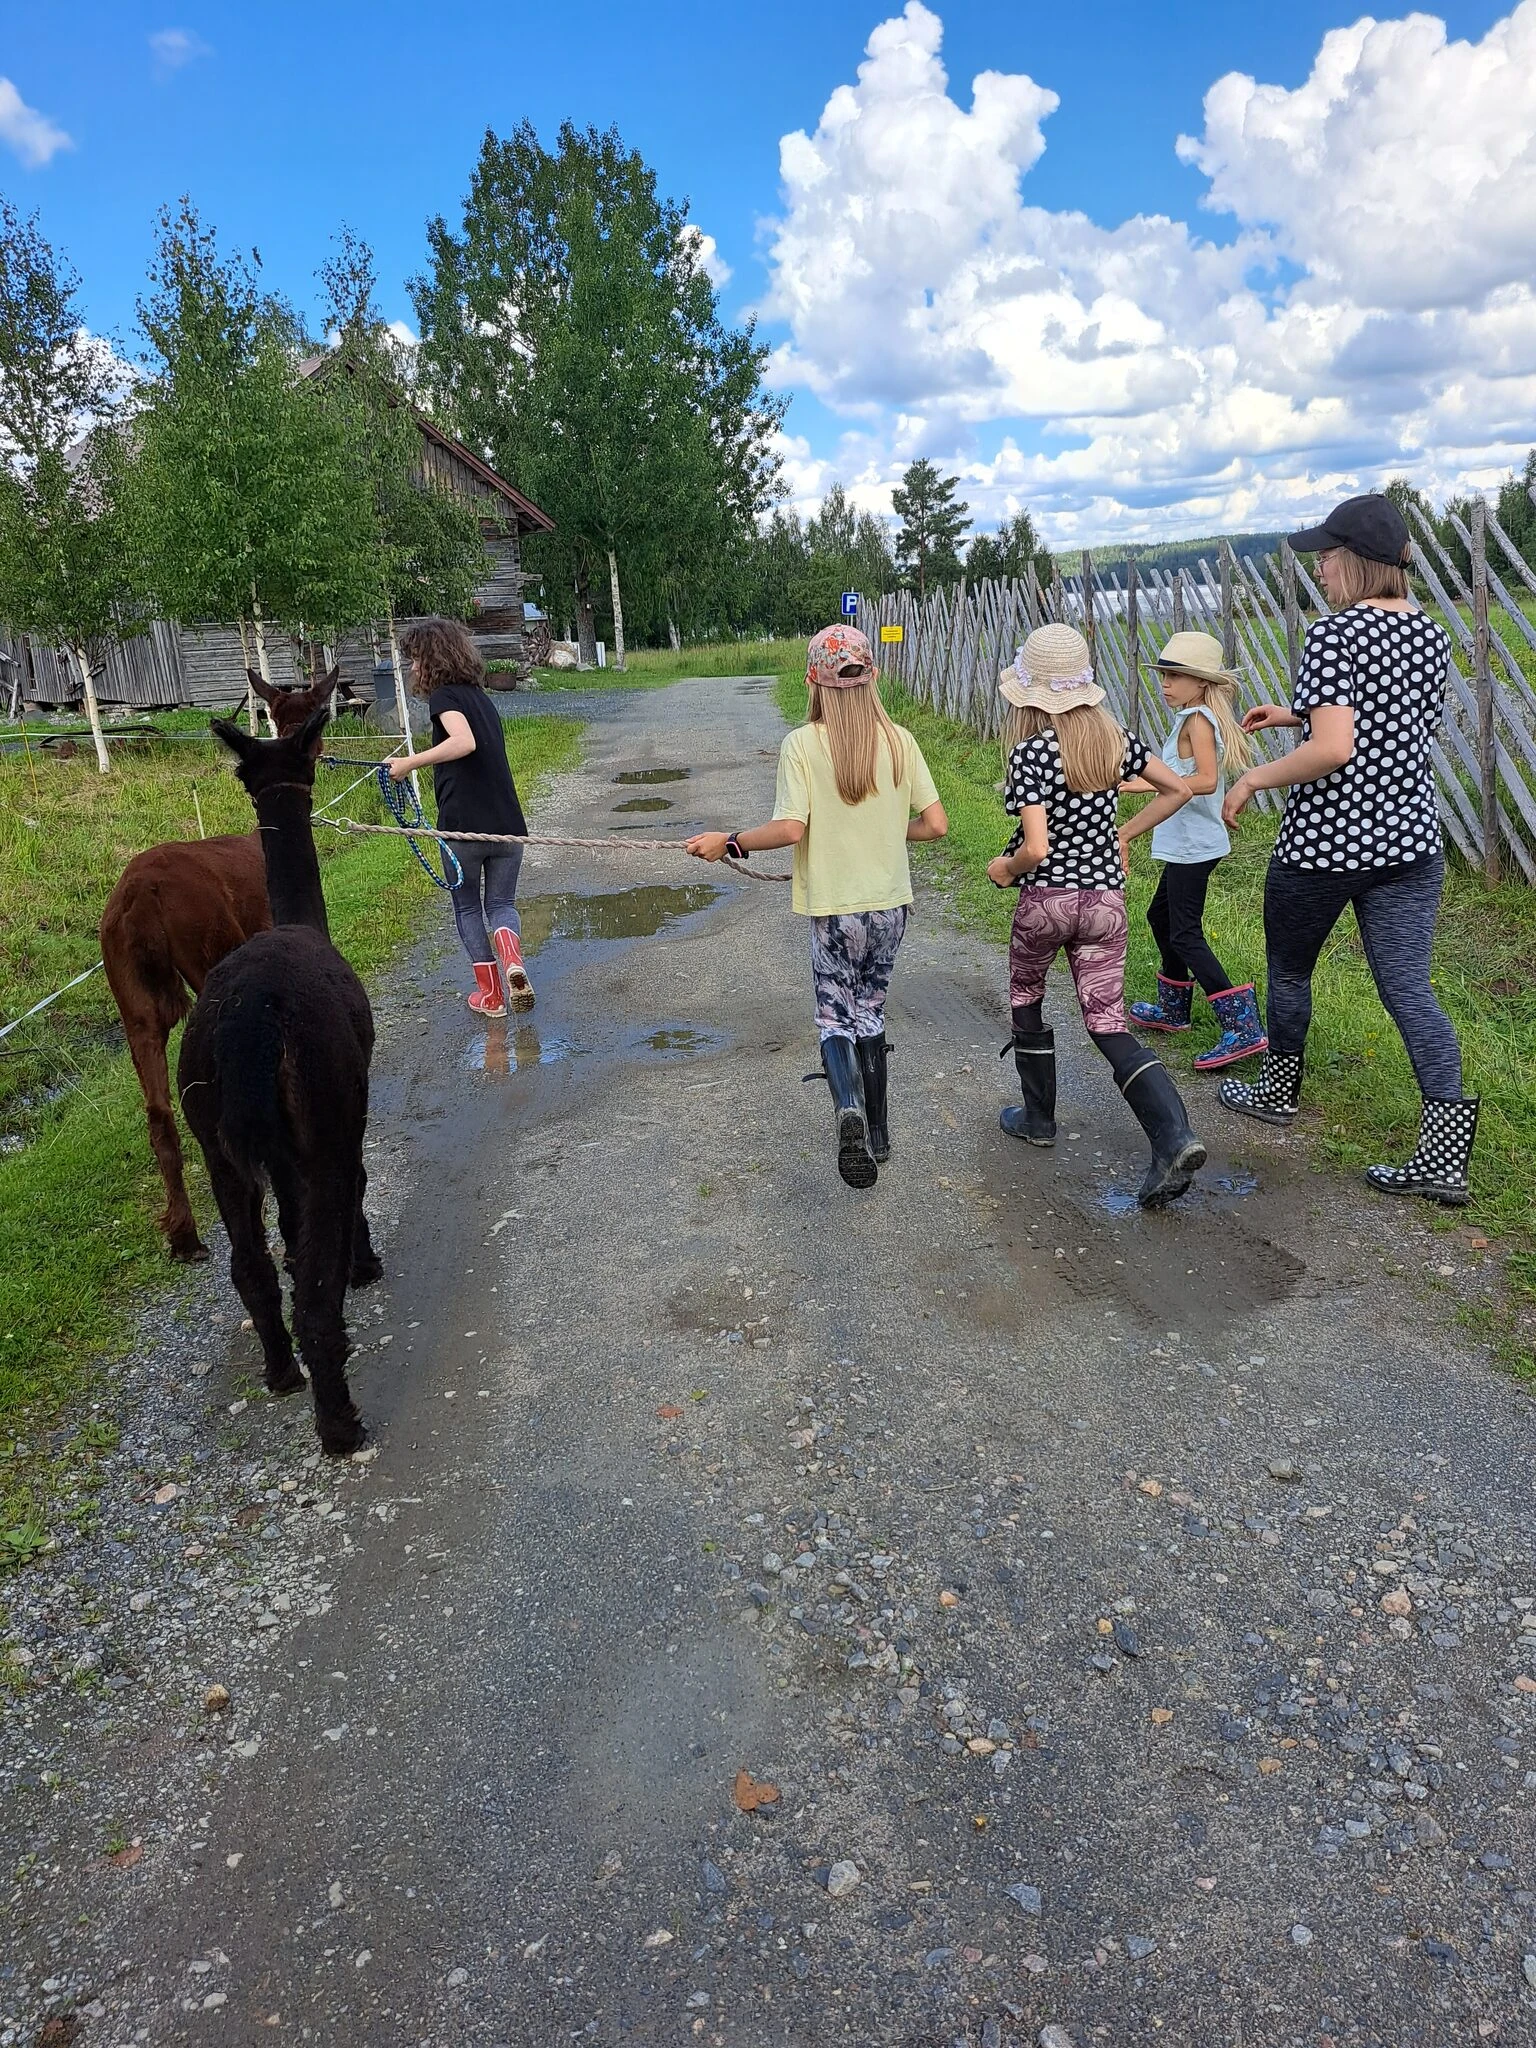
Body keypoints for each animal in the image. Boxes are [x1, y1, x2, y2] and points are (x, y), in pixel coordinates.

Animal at [178, 704, 382, 1455]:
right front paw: (366, 1265)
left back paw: (281, 1372)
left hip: (214, 1137)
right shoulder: (343, 1115)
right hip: (318, 1109)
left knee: (252, 1268)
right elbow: (350, 1193)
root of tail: (249, 1025)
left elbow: (289, 1241)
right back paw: (340, 1423)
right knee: (314, 1288)